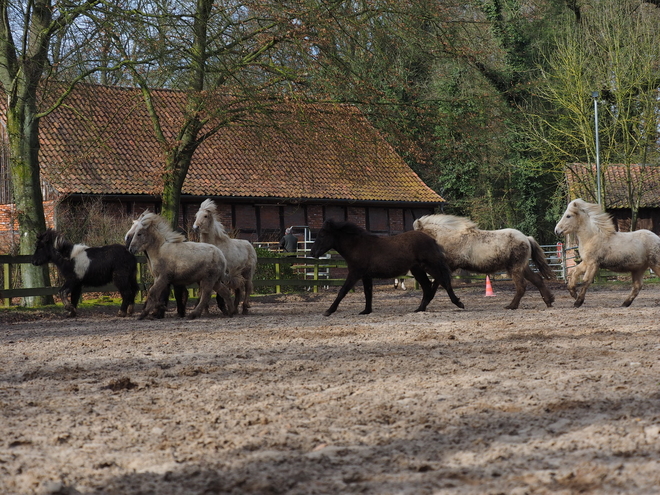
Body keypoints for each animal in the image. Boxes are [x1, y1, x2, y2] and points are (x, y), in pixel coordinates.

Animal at [310, 221, 464, 318]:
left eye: (322, 235)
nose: (312, 253)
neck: (358, 246)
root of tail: (432, 240)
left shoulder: (355, 273)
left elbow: (342, 291)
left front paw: (329, 310)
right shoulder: (366, 276)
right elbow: (368, 293)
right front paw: (366, 311)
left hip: (430, 266)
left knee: (443, 281)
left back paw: (458, 303)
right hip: (418, 270)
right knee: (428, 287)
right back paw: (420, 309)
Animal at [416, 214, 556, 310]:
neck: (450, 237)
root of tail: (526, 238)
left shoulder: (448, 267)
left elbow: (437, 284)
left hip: (515, 268)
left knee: (521, 286)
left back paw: (511, 306)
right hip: (523, 267)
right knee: (537, 280)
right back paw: (549, 301)